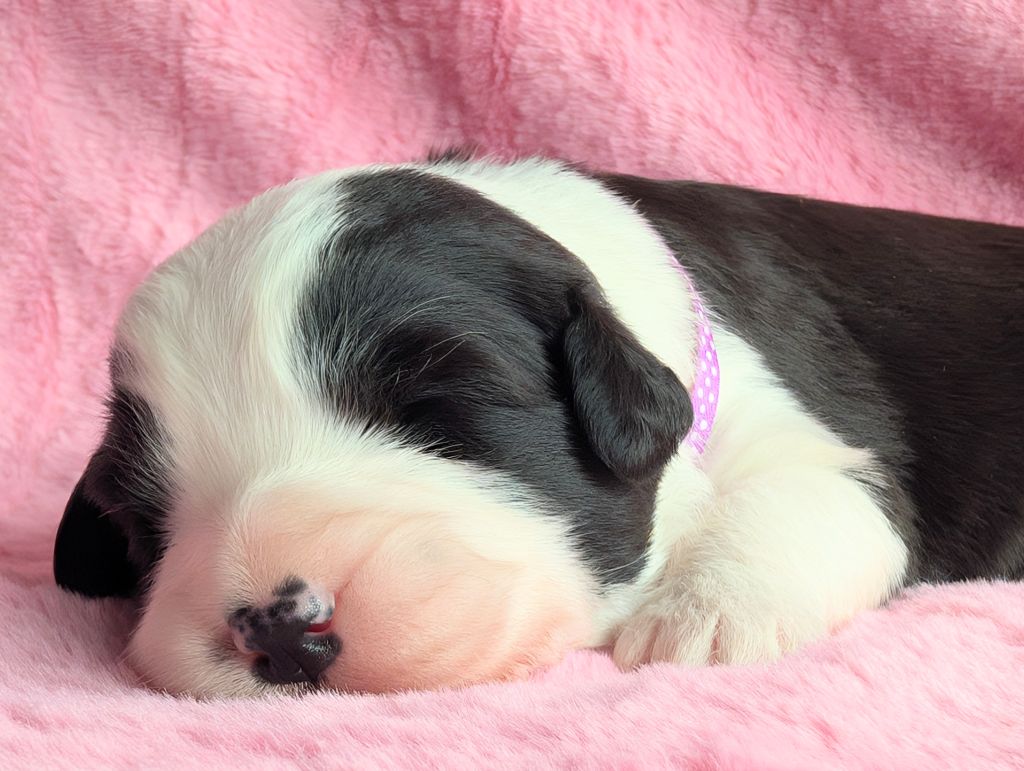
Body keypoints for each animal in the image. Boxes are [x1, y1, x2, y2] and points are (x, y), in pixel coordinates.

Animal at [53, 153, 1024, 697]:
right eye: (146, 519)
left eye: (439, 415)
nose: (281, 627)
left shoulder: (809, 434)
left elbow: (812, 497)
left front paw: (700, 618)